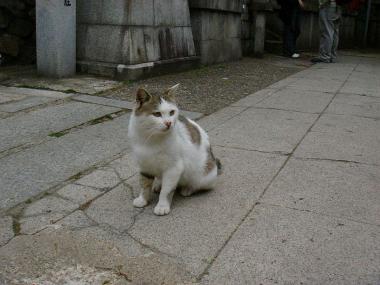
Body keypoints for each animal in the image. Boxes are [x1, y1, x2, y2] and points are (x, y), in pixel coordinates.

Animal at [128, 84, 221, 215]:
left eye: (171, 112)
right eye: (157, 114)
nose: (168, 123)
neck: (152, 139)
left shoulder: (174, 168)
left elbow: (167, 190)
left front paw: (162, 205)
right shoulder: (144, 165)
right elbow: (144, 184)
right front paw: (143, 199)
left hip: (203, 176)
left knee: (199, 184)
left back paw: (188, 189)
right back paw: (158, 184)